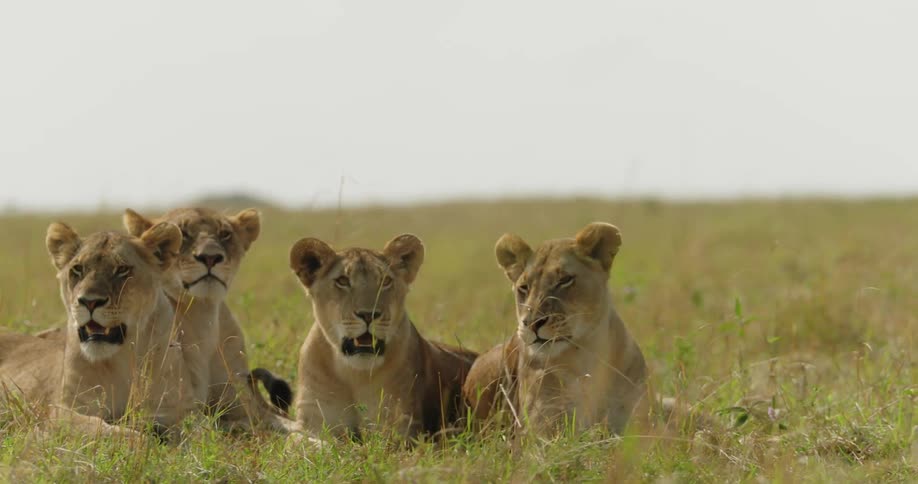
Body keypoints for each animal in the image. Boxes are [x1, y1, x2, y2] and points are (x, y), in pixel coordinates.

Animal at [0, 222, 193, 436]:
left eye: (122, 269)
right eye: (77, 269)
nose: (89, 302)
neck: (123, 359)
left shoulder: (174, 410)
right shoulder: (62, 411)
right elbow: (103, 429)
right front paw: (142, 438)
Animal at [122, 207, 295, 432]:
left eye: (225, 234)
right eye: (183, 233)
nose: (210, 257)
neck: (204, 314)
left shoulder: (244, 404)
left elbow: (298, 428)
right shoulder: (179, 409)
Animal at [288, 234, 478, 440]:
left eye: (385, 281)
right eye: (343, 281)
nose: (368, 314)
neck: (354, 374)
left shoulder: (401, 427)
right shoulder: (311, 422)